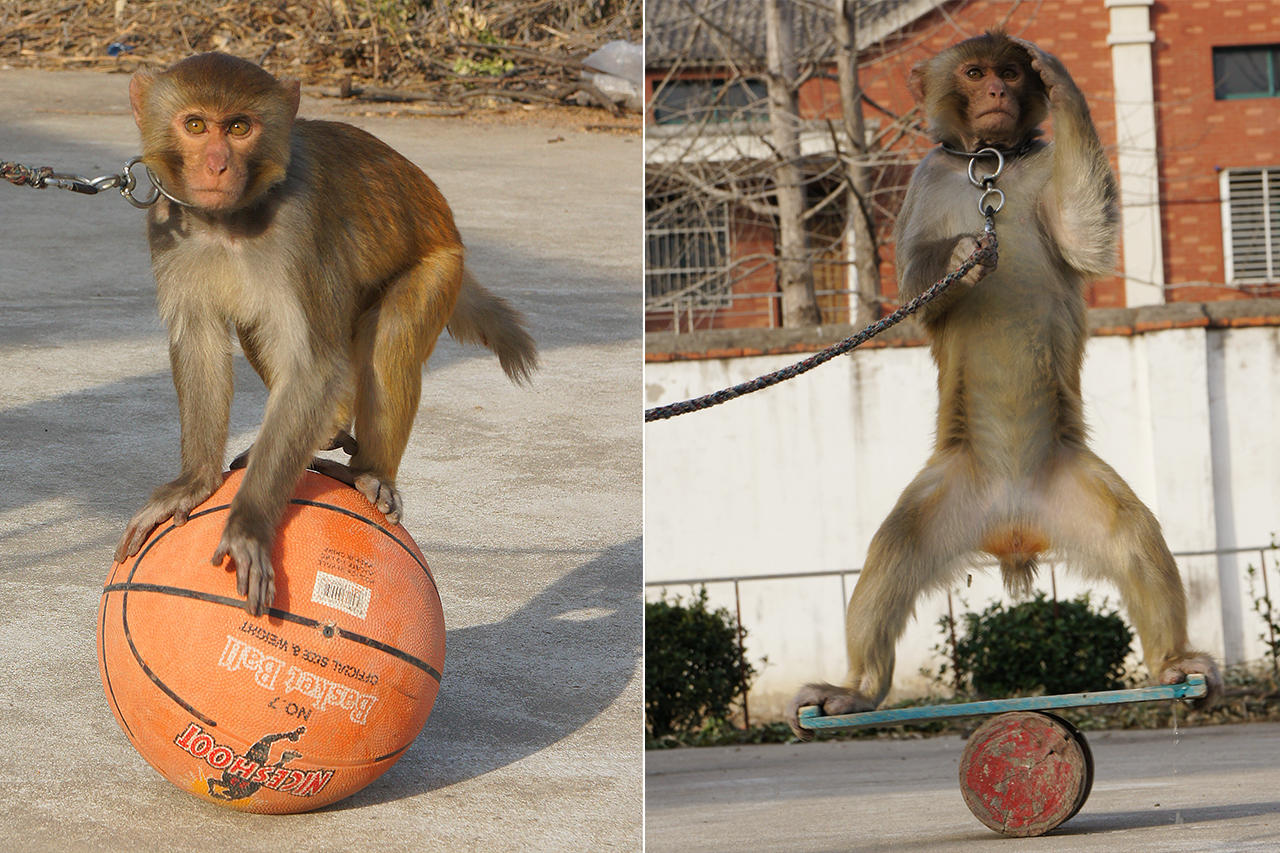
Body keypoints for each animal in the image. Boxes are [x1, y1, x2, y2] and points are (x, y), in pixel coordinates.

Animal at [117, 51, 537, 612]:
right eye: (195, 125)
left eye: (239, 127)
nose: (217, 166)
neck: (228, 222)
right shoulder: (169, 226)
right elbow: (201, 343)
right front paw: (195, 481)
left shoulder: (299, 230)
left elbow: (315, 369)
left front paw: (249, 522)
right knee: (264, 326)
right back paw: (331, 428)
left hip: (440, 268)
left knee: (389, 340)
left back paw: (371, 473)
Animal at [788, 28, 1218, 732]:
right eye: (974, 72)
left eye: (1012, 73)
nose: (996, 90)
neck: (993, 164)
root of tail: (1014, 523)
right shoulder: (926, 181)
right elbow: (916, 290)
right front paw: (965, 255)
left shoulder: (1042, 169)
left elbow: (1083, 236)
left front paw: (1065, 87)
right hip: (952, 490)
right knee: (895, 549)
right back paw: (857, 689)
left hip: (1071, 483)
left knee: (1132, 538)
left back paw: (1175, 664)